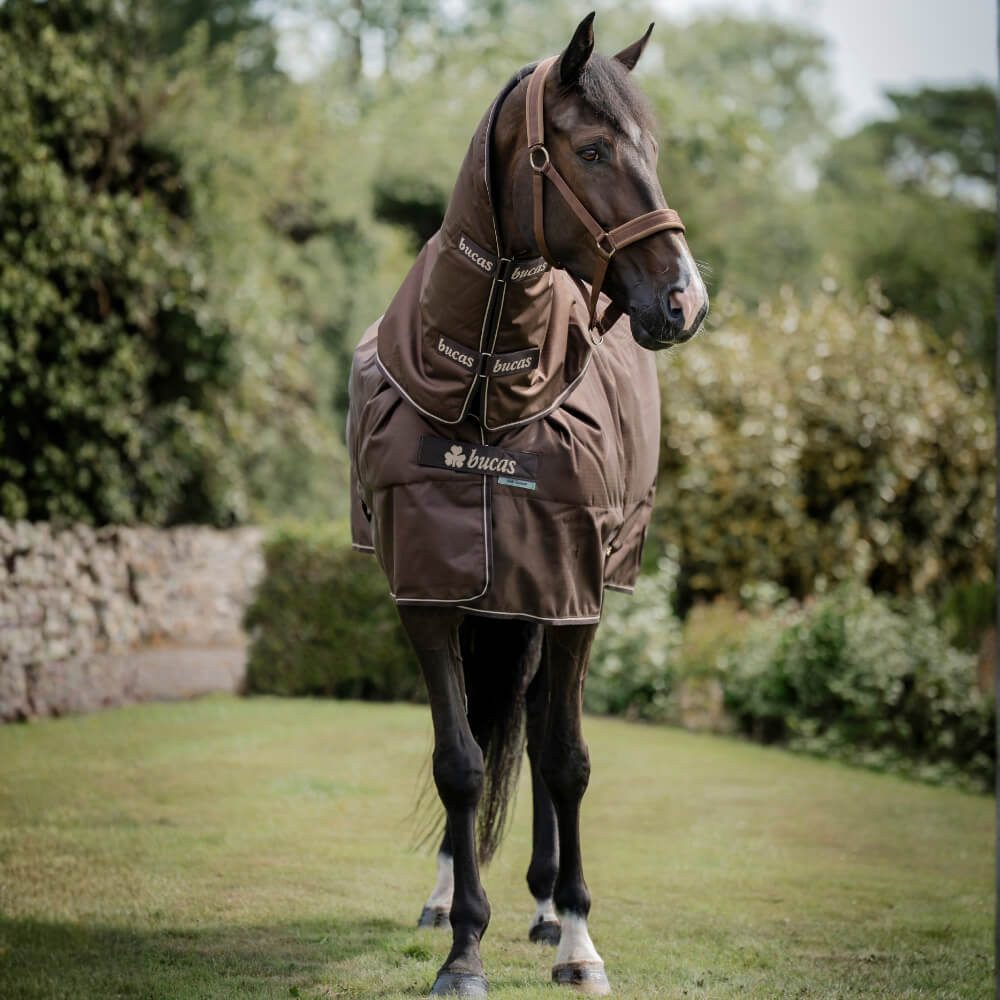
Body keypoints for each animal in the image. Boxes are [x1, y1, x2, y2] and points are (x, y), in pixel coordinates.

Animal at [347, 12, 708, 996]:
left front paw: (580, 939)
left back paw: (549, 908)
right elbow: (461, 761)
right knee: (490, 723)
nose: (686, 300)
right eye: (591, 149)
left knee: (544, 729)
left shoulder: (572, 594)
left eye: (651, 149)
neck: (484, 396)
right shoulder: (429, 593)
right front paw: (462, 946)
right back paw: (449, 898)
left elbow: (566, 759)